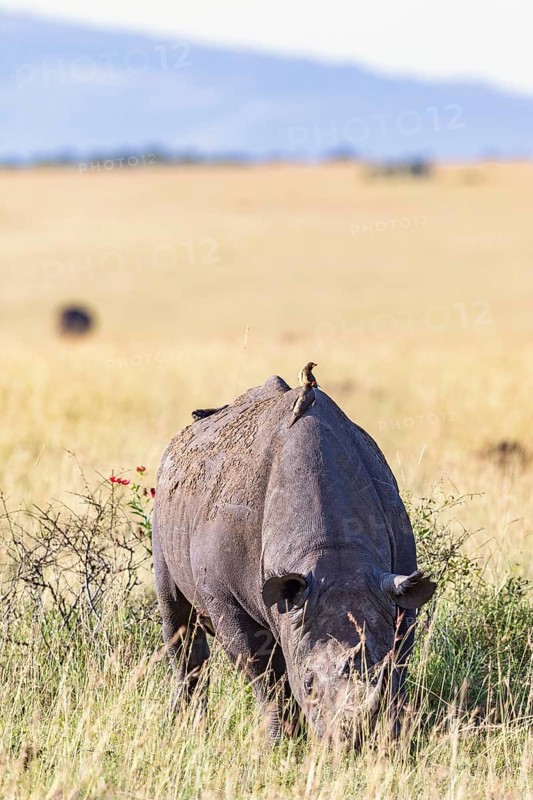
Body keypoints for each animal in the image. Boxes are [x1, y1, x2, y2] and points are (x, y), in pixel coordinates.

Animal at [153, 375, 436, 744]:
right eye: (309, 683)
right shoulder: (227, 598)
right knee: (177, 619)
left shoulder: (397, 590)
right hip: (163, 505)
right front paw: (280, 742)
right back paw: (187, 724)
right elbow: (265, 674)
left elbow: (399, 659)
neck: (333, 551)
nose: (351, 740)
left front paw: (393, 738)